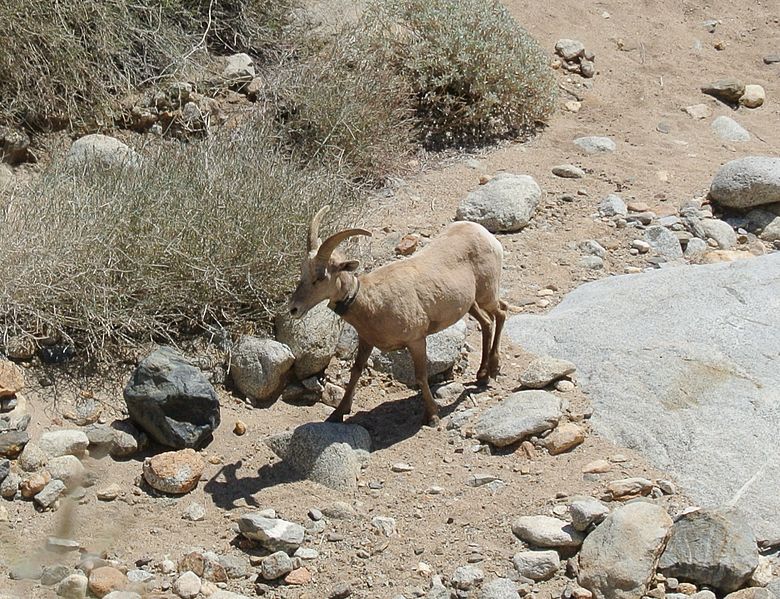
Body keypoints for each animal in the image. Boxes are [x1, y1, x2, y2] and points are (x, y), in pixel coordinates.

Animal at [286, 206, 506, 426]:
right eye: (302, 272)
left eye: (321, 277)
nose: (294, 309)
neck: (372, 303)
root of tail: (485, 234)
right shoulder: (366, 340)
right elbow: (356, 371)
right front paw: (337, 414)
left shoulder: (416, 340)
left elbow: (421, 376)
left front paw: (432, 416)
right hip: (471, 303)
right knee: (487, 322)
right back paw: (482, 374)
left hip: (486, 294)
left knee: (501, 312)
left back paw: (493, 369)